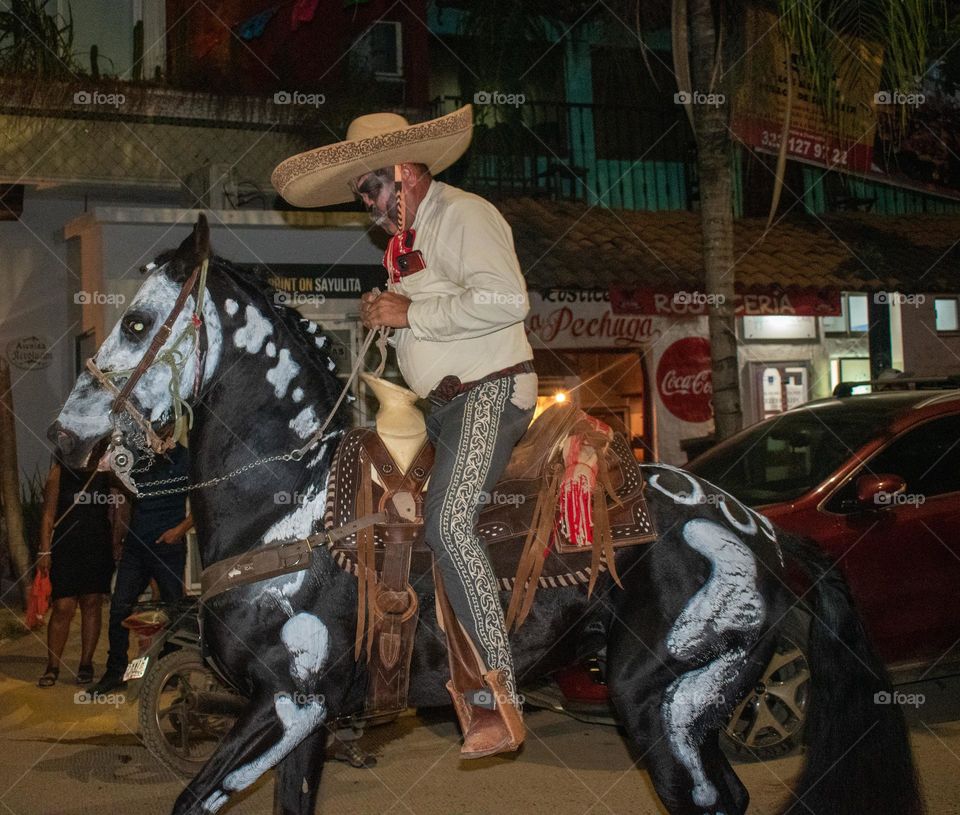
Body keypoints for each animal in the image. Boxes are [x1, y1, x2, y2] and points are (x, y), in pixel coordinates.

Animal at [48, 217, 920, 815]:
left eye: (136, 322)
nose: (64, 435)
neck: (293, 504)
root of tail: (760, 528)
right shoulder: (308, 717)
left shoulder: (289, 701)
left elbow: (189, 797)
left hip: (664, 699)